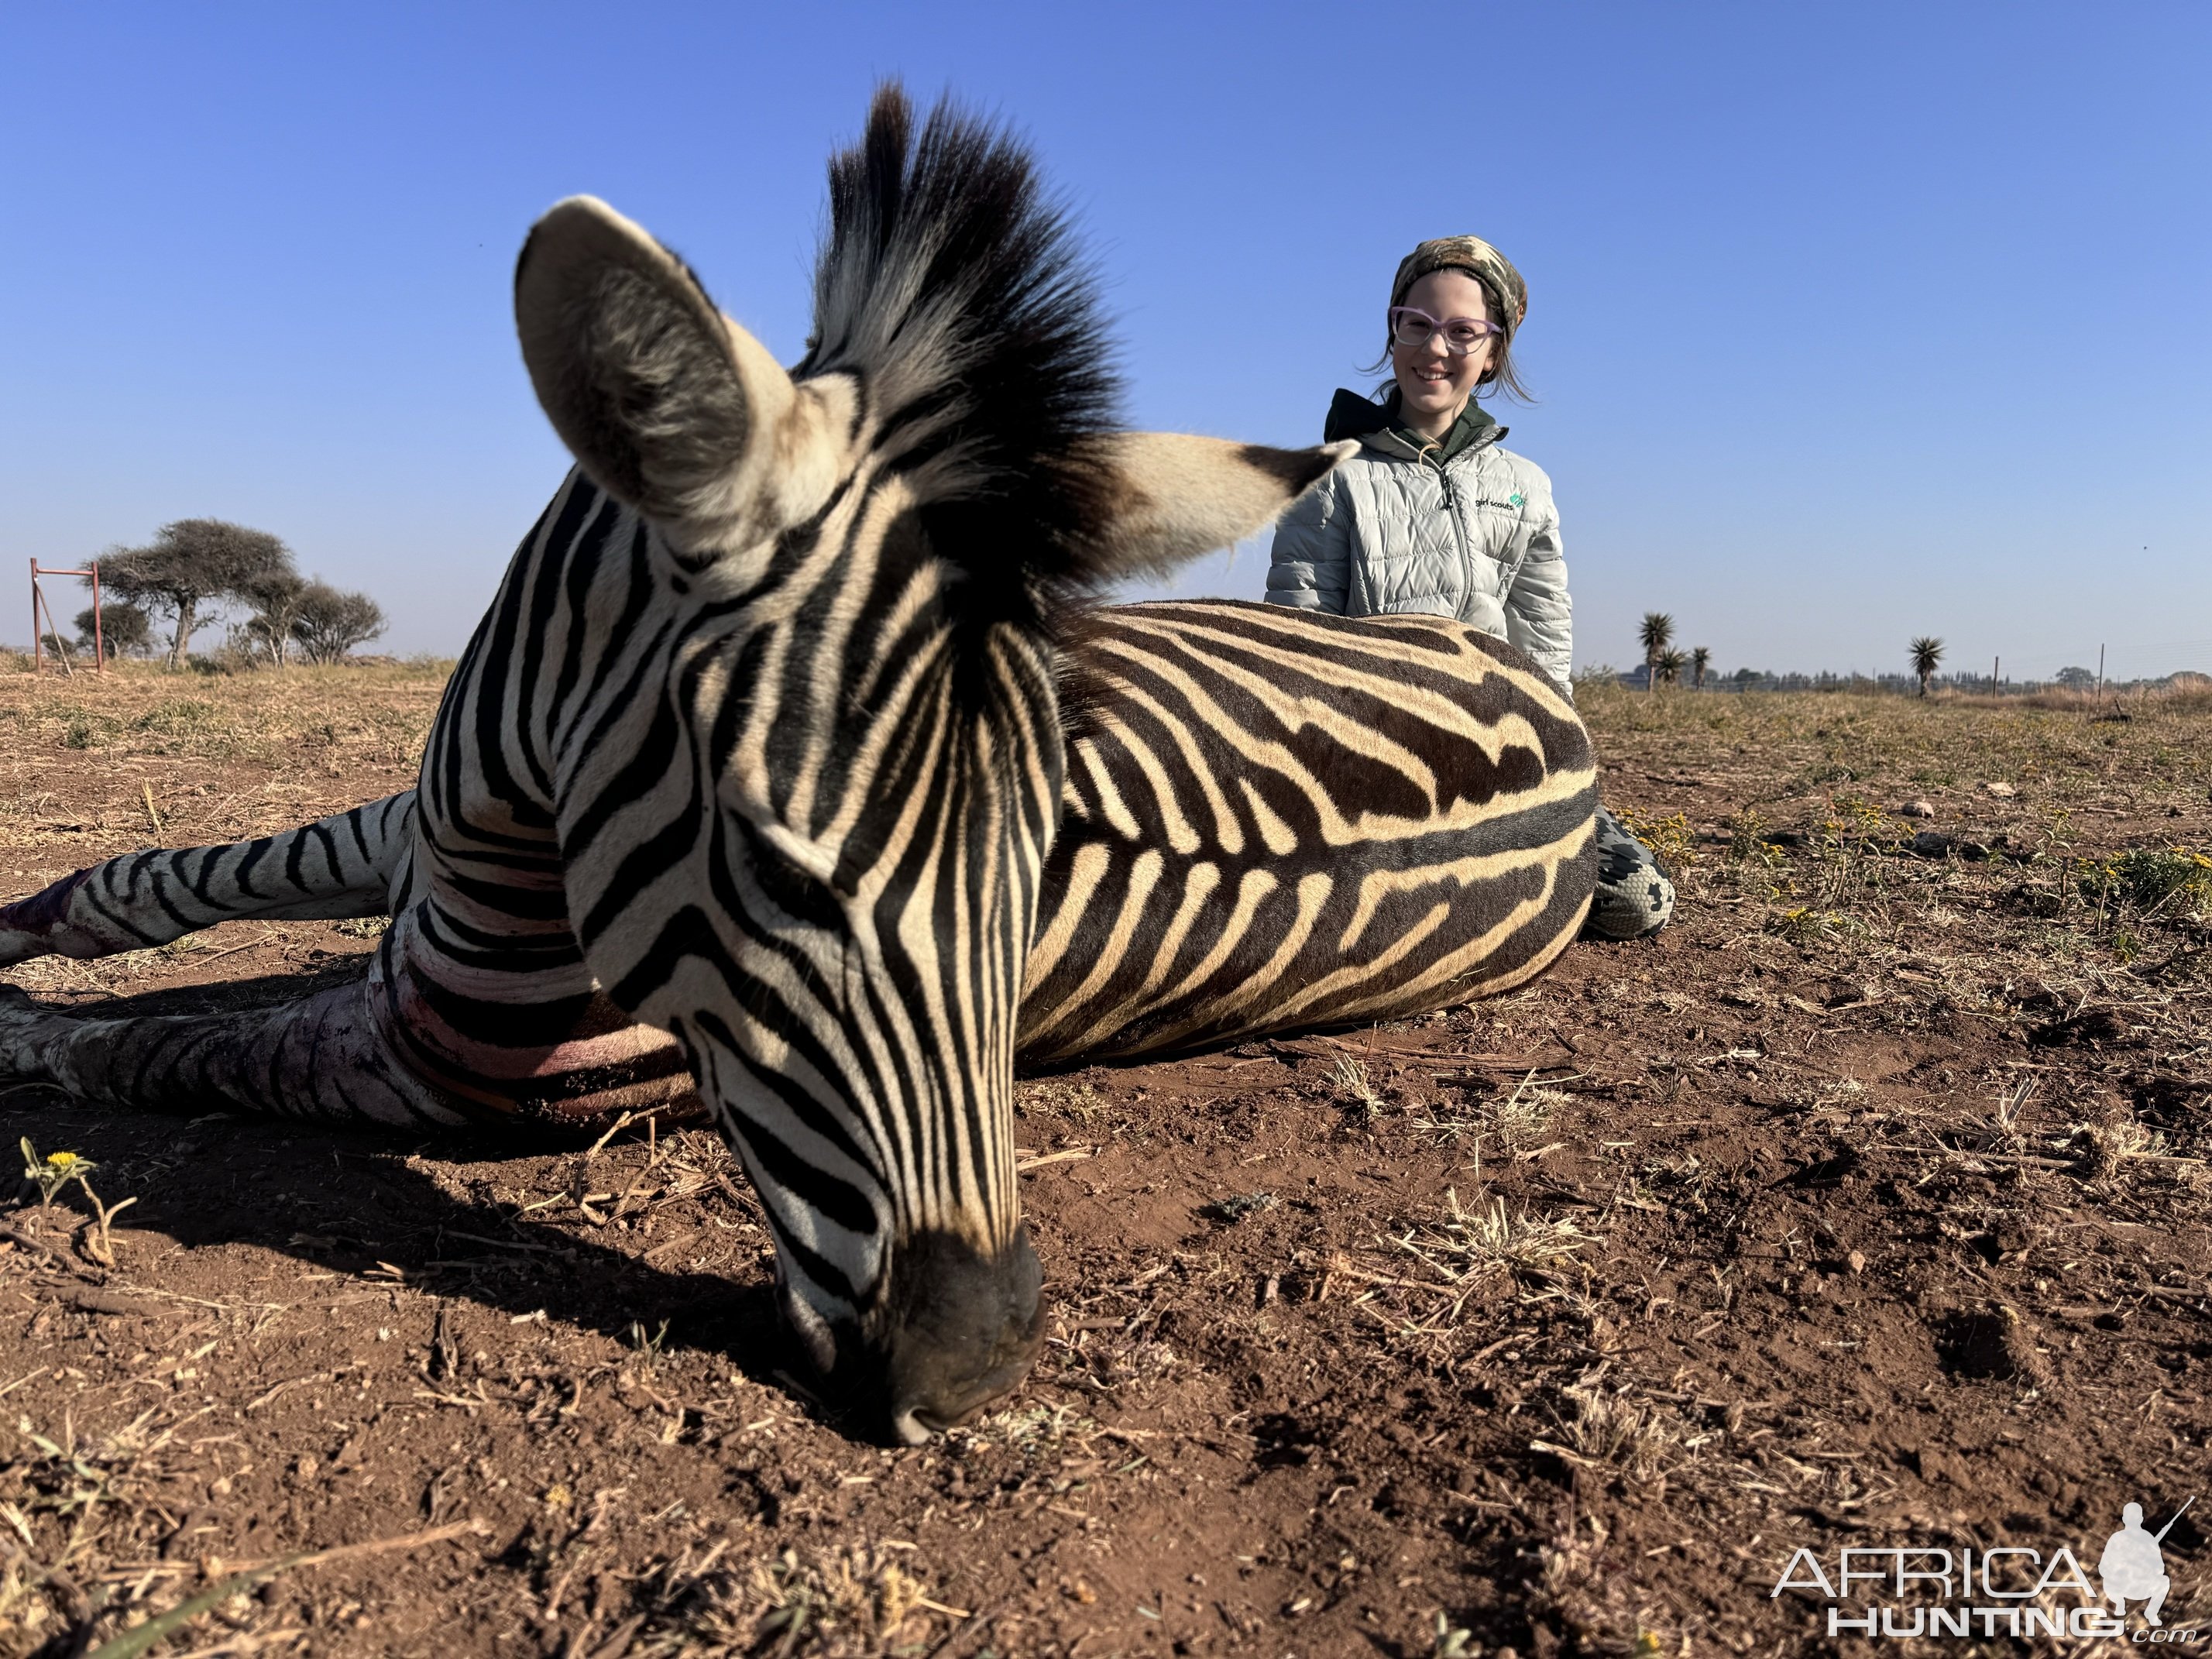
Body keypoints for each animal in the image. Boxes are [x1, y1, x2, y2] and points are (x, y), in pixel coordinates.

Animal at [0, 91, 1592, 1442]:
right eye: (767, 862)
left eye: (1042, 863)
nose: (973, 1371)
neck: (505, 821)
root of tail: (1568, 732)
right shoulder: (409, 832)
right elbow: (174, 876)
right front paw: (39, 924)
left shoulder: (422, 1067)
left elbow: (146, 1047)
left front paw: (26, 1023)